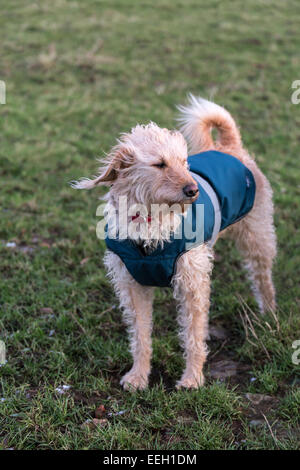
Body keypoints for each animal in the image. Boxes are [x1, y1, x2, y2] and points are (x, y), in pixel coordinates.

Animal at [73, 94, 276, 390]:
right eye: (159, 164)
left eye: (184, 161)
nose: (193, 190)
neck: (149, 222)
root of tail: (227, 147)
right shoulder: (132, 286)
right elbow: (140, 337)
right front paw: (138, 376)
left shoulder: (192, 283)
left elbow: (193, 336)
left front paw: (192, 379)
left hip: (257, 235)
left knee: (263, 277)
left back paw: (269, 314)